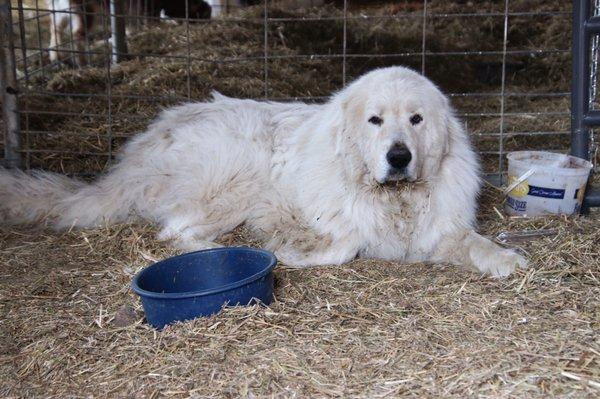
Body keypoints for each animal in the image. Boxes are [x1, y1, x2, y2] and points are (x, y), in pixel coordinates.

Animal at [0, 66, 524, 278]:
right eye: (375, 120)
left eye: (416, 119)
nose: (398, 157)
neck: (395, 201)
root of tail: (146, 142)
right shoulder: (333, 222)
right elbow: (344, 245)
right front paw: (286, 251)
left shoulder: (441, 229)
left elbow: (473, 242)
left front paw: (506, 258)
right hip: (237, 173)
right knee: (174, 231)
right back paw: (225, 249)